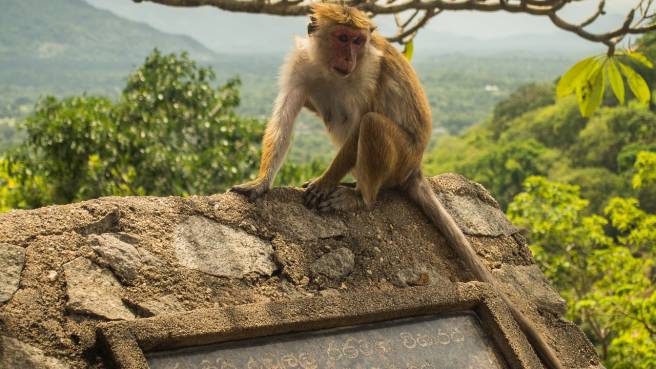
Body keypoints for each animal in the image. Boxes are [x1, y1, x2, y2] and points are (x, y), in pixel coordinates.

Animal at [231, 3, 564, 368]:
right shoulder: (301, 64)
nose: (350, 56)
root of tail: (415, 167)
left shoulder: (368, 70)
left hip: (400, 157)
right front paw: (261, 182)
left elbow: (362, 118)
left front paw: (326, 181)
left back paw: (360, 196)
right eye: (342, 38)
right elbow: (287, 112)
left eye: (358, 41)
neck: (330, 68)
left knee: (371, 123)